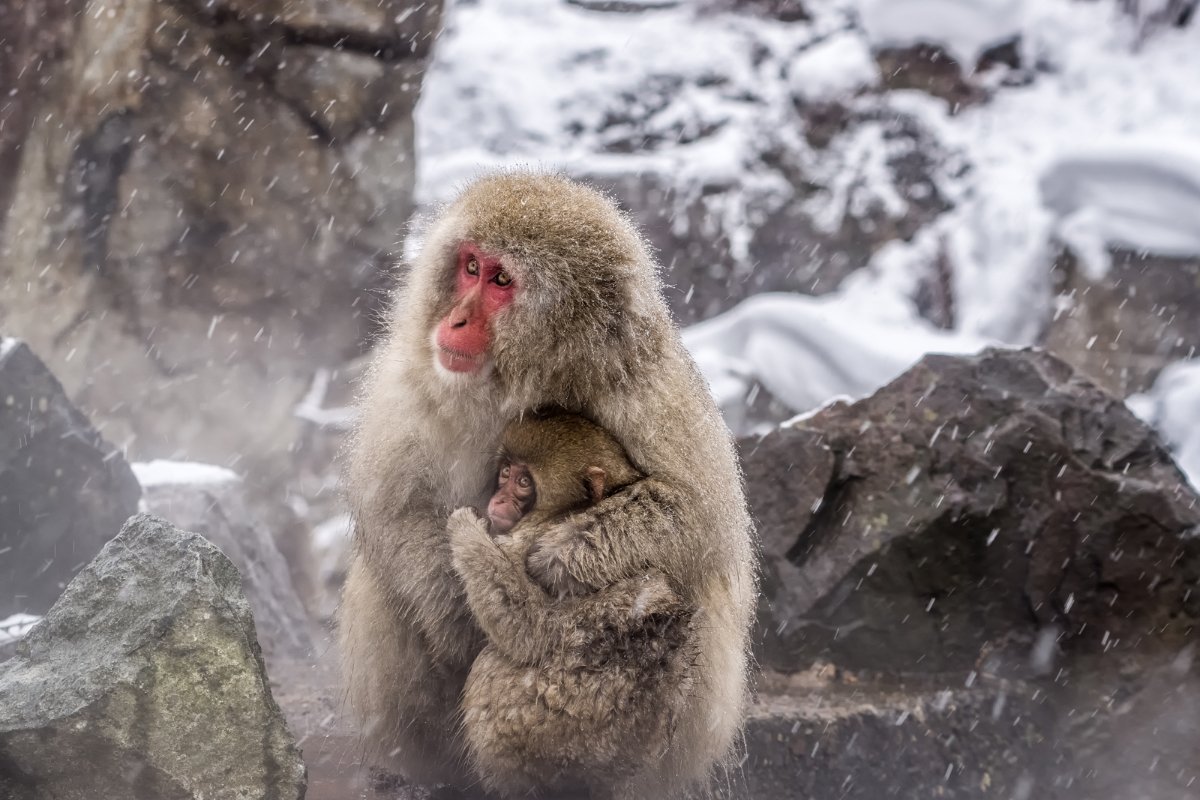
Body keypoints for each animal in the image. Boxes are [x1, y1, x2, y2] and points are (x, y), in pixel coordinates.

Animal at [446, 412, 700, 800]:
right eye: (505, 471)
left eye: (524, 482)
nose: (498, 500)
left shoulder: (530, 537)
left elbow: (525, 627)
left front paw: (464, 528)